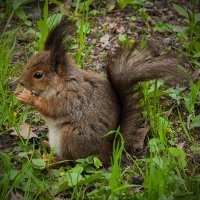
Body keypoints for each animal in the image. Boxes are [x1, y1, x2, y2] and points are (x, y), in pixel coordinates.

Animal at [14, 19, 188, 165]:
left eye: (38, 75)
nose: (21, 82)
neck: (60, 83)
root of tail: (107, 153)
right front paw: (21, 92)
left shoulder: (72, 97)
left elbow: (53, 109)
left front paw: (28, 98)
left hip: (71, 136)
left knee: (71, 161)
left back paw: (53, 161)